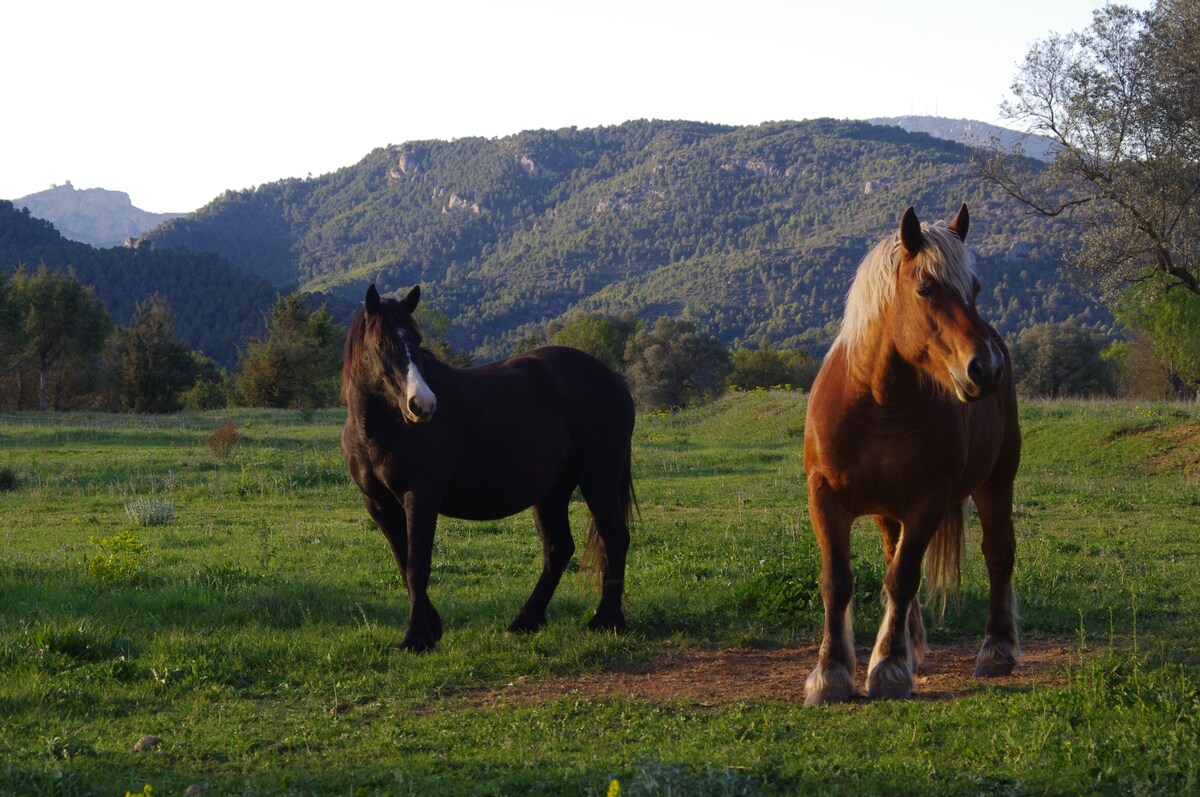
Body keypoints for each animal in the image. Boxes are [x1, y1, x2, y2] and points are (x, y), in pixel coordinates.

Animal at [340, 283, 638, 652]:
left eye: (417, 340)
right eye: (380, 345)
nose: (423, 405)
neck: (379, 428)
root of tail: (613, 379)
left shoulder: (420, 497)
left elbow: (416, 565)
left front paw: (415, 637)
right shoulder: (379, 504)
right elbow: (403, 560)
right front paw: (429, 629)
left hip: (599, 480)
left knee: (614, 538)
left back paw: (604, 622)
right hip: (552, 491)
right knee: (559, 548)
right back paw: (525, 621)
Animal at [806, 204, 1022, 705]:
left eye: (975, 289)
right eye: (926, 288)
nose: (986, 368)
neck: (876, 401)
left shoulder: (928, 501)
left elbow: (902, 578)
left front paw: (887, 669)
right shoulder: (825, 498)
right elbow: (838, 581)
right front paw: (831, 673)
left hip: (996, 482)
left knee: (998, 554)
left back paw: (996, 651)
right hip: (888, 510)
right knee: (893, 554)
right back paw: (913, 644)